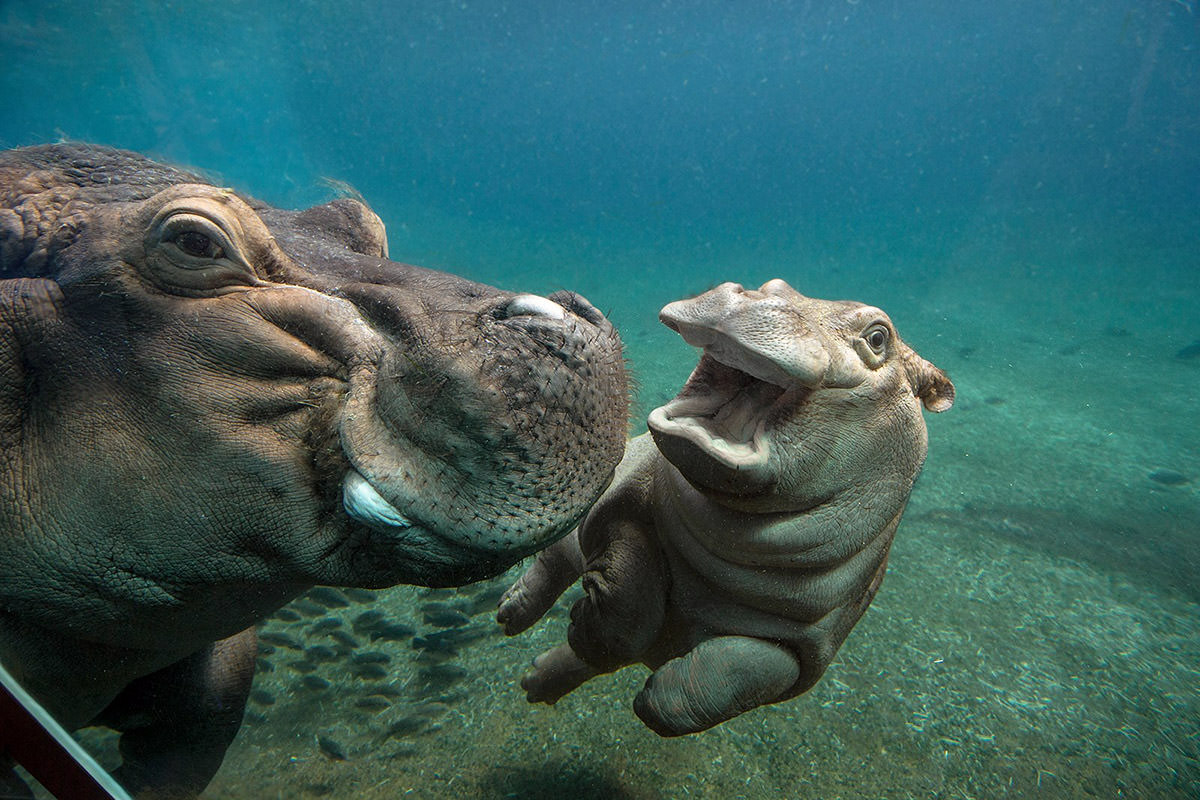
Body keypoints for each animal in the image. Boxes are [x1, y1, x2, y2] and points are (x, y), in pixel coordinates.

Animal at [492, 278, 950, 734]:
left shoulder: (807, 649)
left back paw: (535, 681)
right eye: (774, 284)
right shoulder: (626, 507)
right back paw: (510, 614)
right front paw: (584, 620)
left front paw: (649, 696)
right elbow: (628, 602)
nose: (756, 295)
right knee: (555, 559)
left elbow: (739, 672)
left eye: (878, 338)